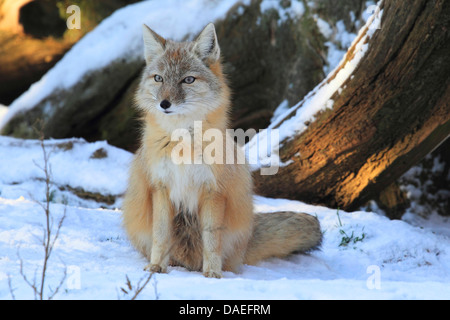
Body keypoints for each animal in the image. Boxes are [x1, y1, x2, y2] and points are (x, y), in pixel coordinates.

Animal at [121, 22, 322, 278]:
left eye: (187, 80)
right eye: (159, 78)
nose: (164, 104)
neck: (184, 145)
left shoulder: (213, 190)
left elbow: (212, 240)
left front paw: (213, 274)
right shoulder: (161, 188)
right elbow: (161, 235)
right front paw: (156, 267)